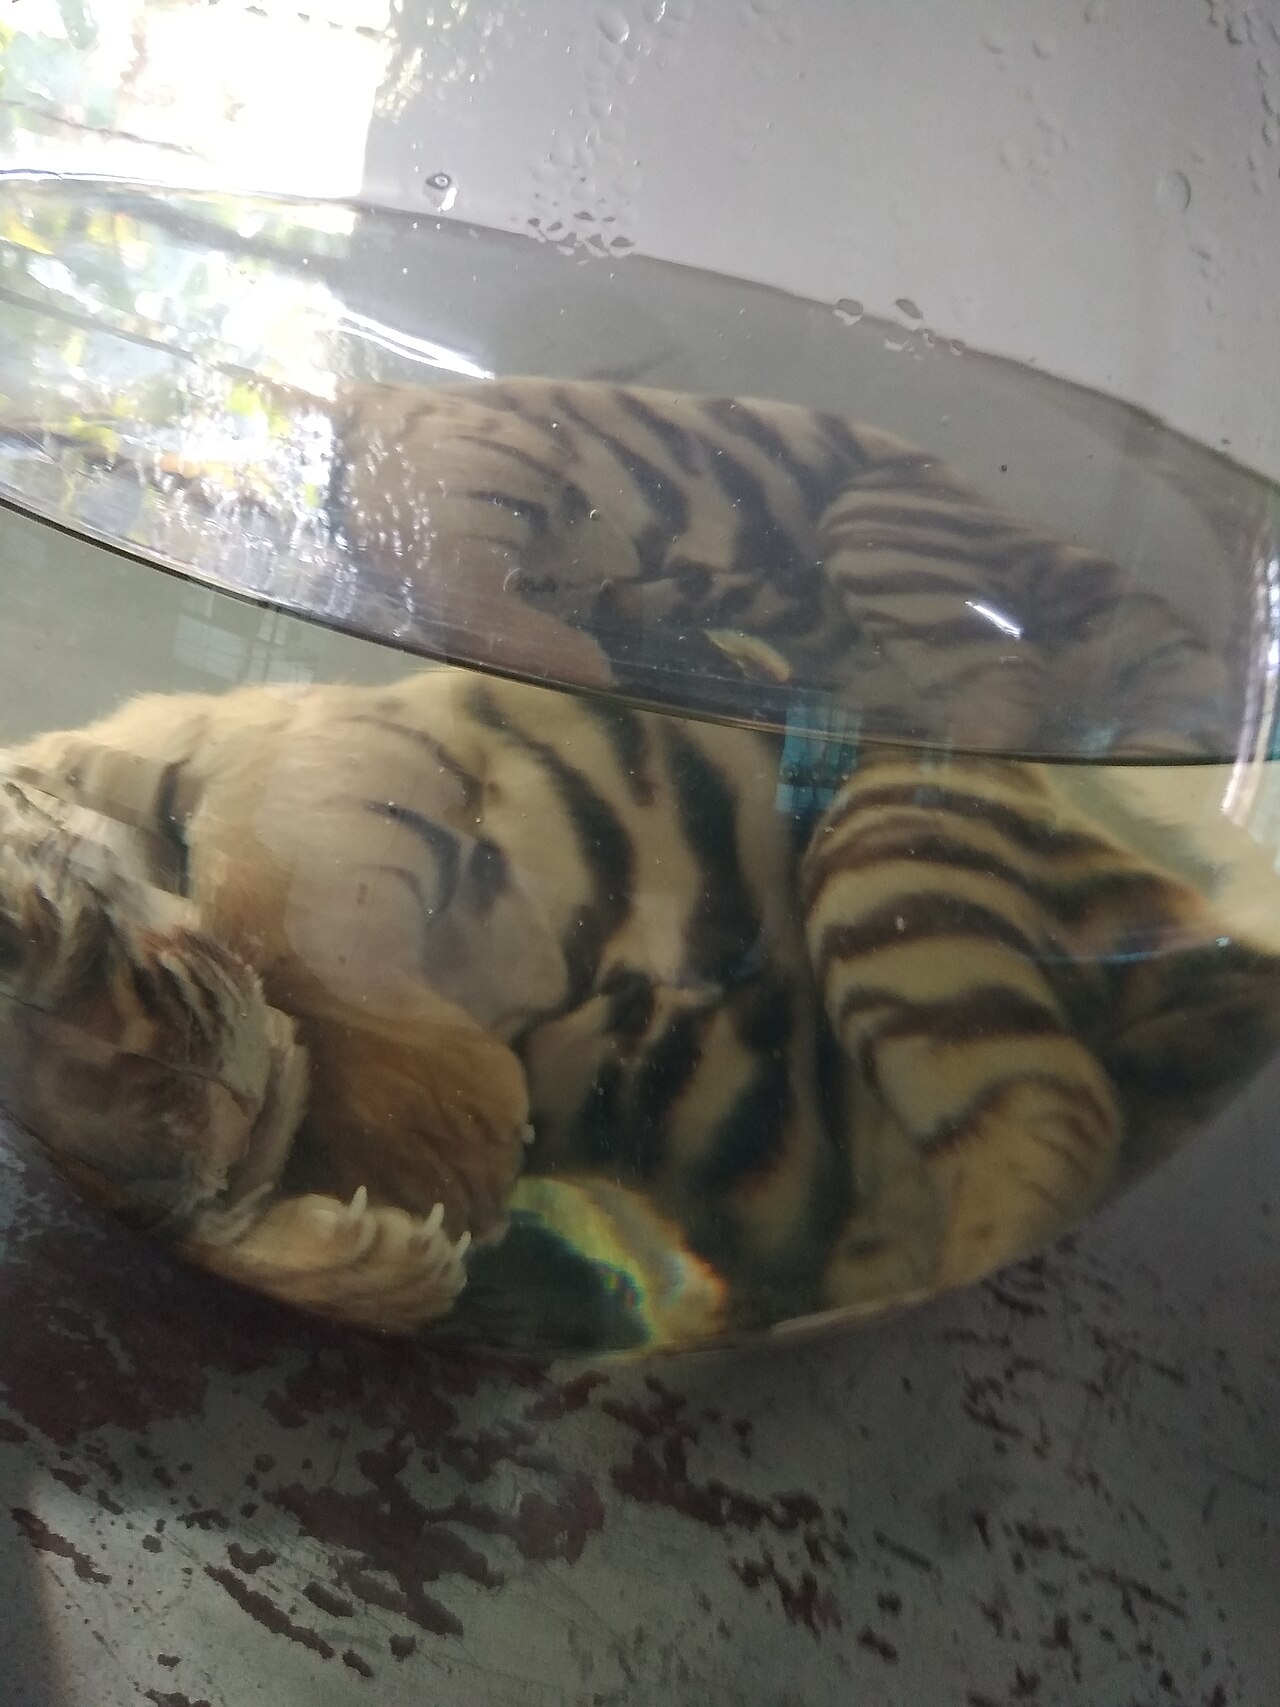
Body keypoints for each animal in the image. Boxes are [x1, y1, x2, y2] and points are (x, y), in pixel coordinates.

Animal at [0, 380, 1269, 1345]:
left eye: (37, 945)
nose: (193, 1121)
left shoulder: (344, 749)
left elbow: (300, 926)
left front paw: (446, 1145)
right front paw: (364, 1245)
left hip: (896, 812)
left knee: (1053, 1102)